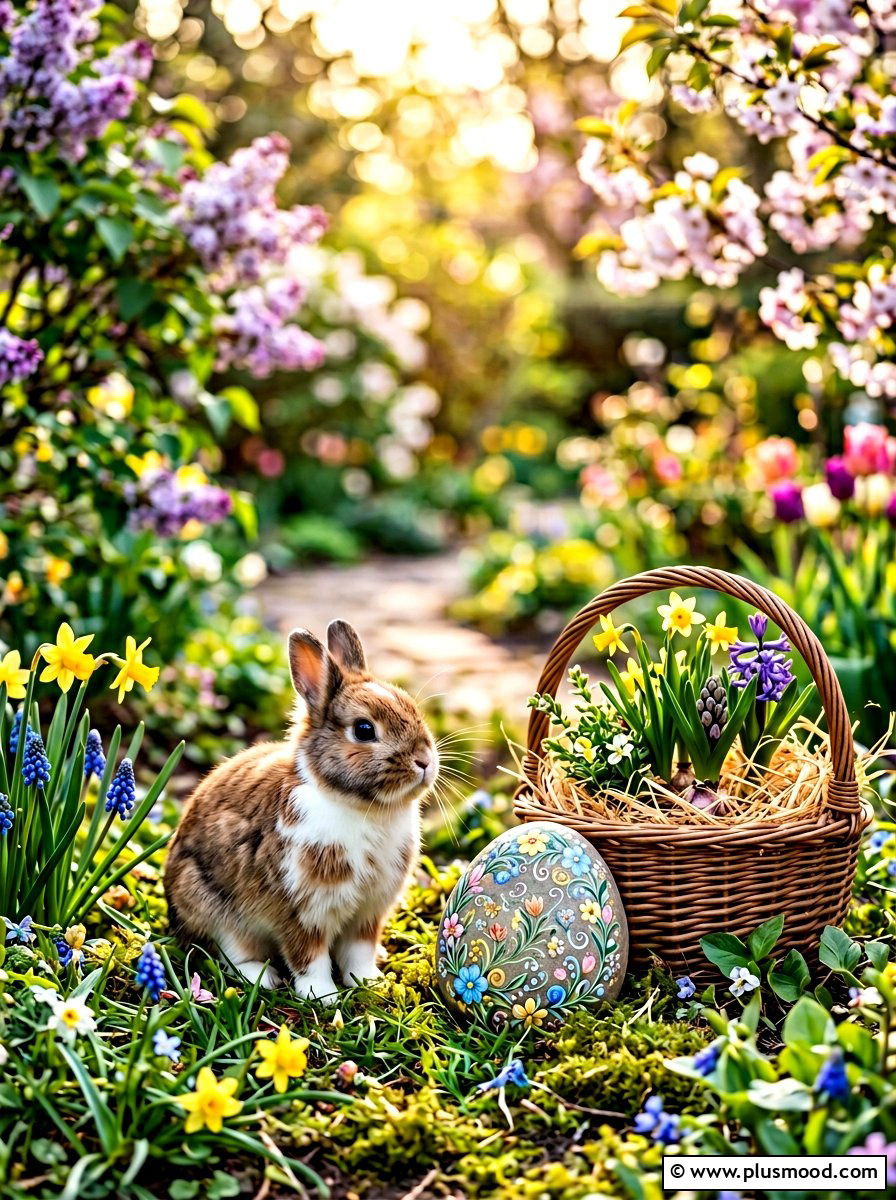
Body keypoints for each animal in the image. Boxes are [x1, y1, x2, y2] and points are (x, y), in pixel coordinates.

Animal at [163, 620, 438, 1002]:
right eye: (364, 729)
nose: (425, 761)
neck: (357, 805)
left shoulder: (368, 913)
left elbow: (359, 951)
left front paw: (370, 984)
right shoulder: (301, 909)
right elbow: (309, 957)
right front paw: (321, 996)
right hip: (212, 906)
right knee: (229, 953)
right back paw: (263, 977)